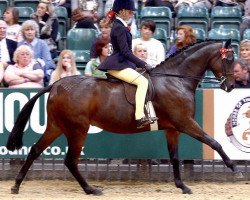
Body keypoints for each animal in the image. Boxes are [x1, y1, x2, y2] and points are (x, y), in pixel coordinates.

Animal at [6, 39, 242, 195]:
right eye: (229, 59)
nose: (231, 86)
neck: (176, 79)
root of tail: (55, 85)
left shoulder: (173, 128)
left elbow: (175, 156)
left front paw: (182, 186)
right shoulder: (185, 123)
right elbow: (214, 142)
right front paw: (235, 169)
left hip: (57, 126)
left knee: (36, 150)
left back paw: (16, 185)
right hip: (78, 128)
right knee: (70, 160)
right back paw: (91, 189)